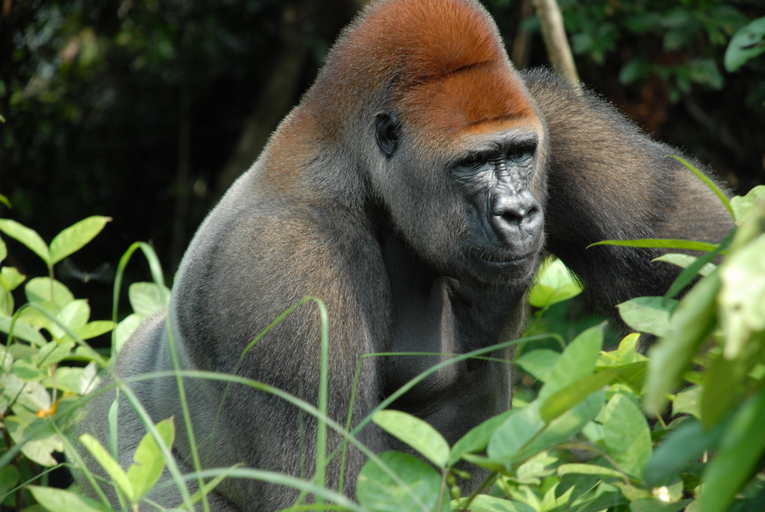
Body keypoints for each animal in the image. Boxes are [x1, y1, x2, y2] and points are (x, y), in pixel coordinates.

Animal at [76, 0, 736, 510]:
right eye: (473, 163)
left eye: (520, 153)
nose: (519, 212)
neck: (361, 173)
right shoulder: (285, 267)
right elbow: (325, 488)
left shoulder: (551, 113)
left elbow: (697, 253)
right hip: (119, 458)